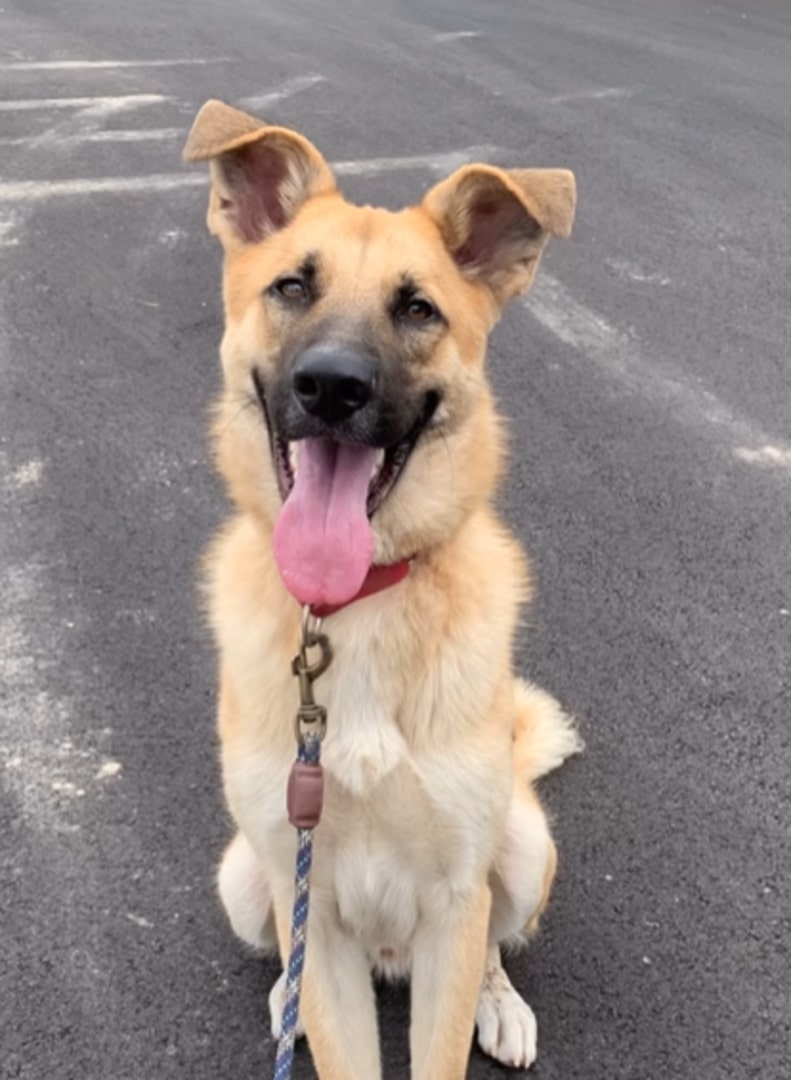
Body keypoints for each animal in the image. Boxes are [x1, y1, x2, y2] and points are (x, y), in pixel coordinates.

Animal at [183, 103, 579, 1080]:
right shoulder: (312, 903)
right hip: (244, 876)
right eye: (291, 286)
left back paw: (500, 1003)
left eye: (417, 309)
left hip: (522, 848)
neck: (353, 610)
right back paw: (283, 1001)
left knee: (494, 946)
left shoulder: (454, 901)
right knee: (281, 950)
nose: (331, 386)